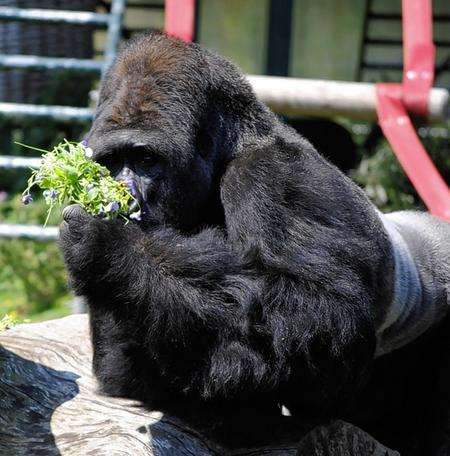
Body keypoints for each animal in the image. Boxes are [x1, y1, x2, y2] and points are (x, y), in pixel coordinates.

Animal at [59, 32, 450, 452]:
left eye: (146, 159)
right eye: (112, 161)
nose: (127, 196)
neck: (231, 148)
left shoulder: (272, 176)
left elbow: (316, 320)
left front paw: (110, 245)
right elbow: (124, 370)